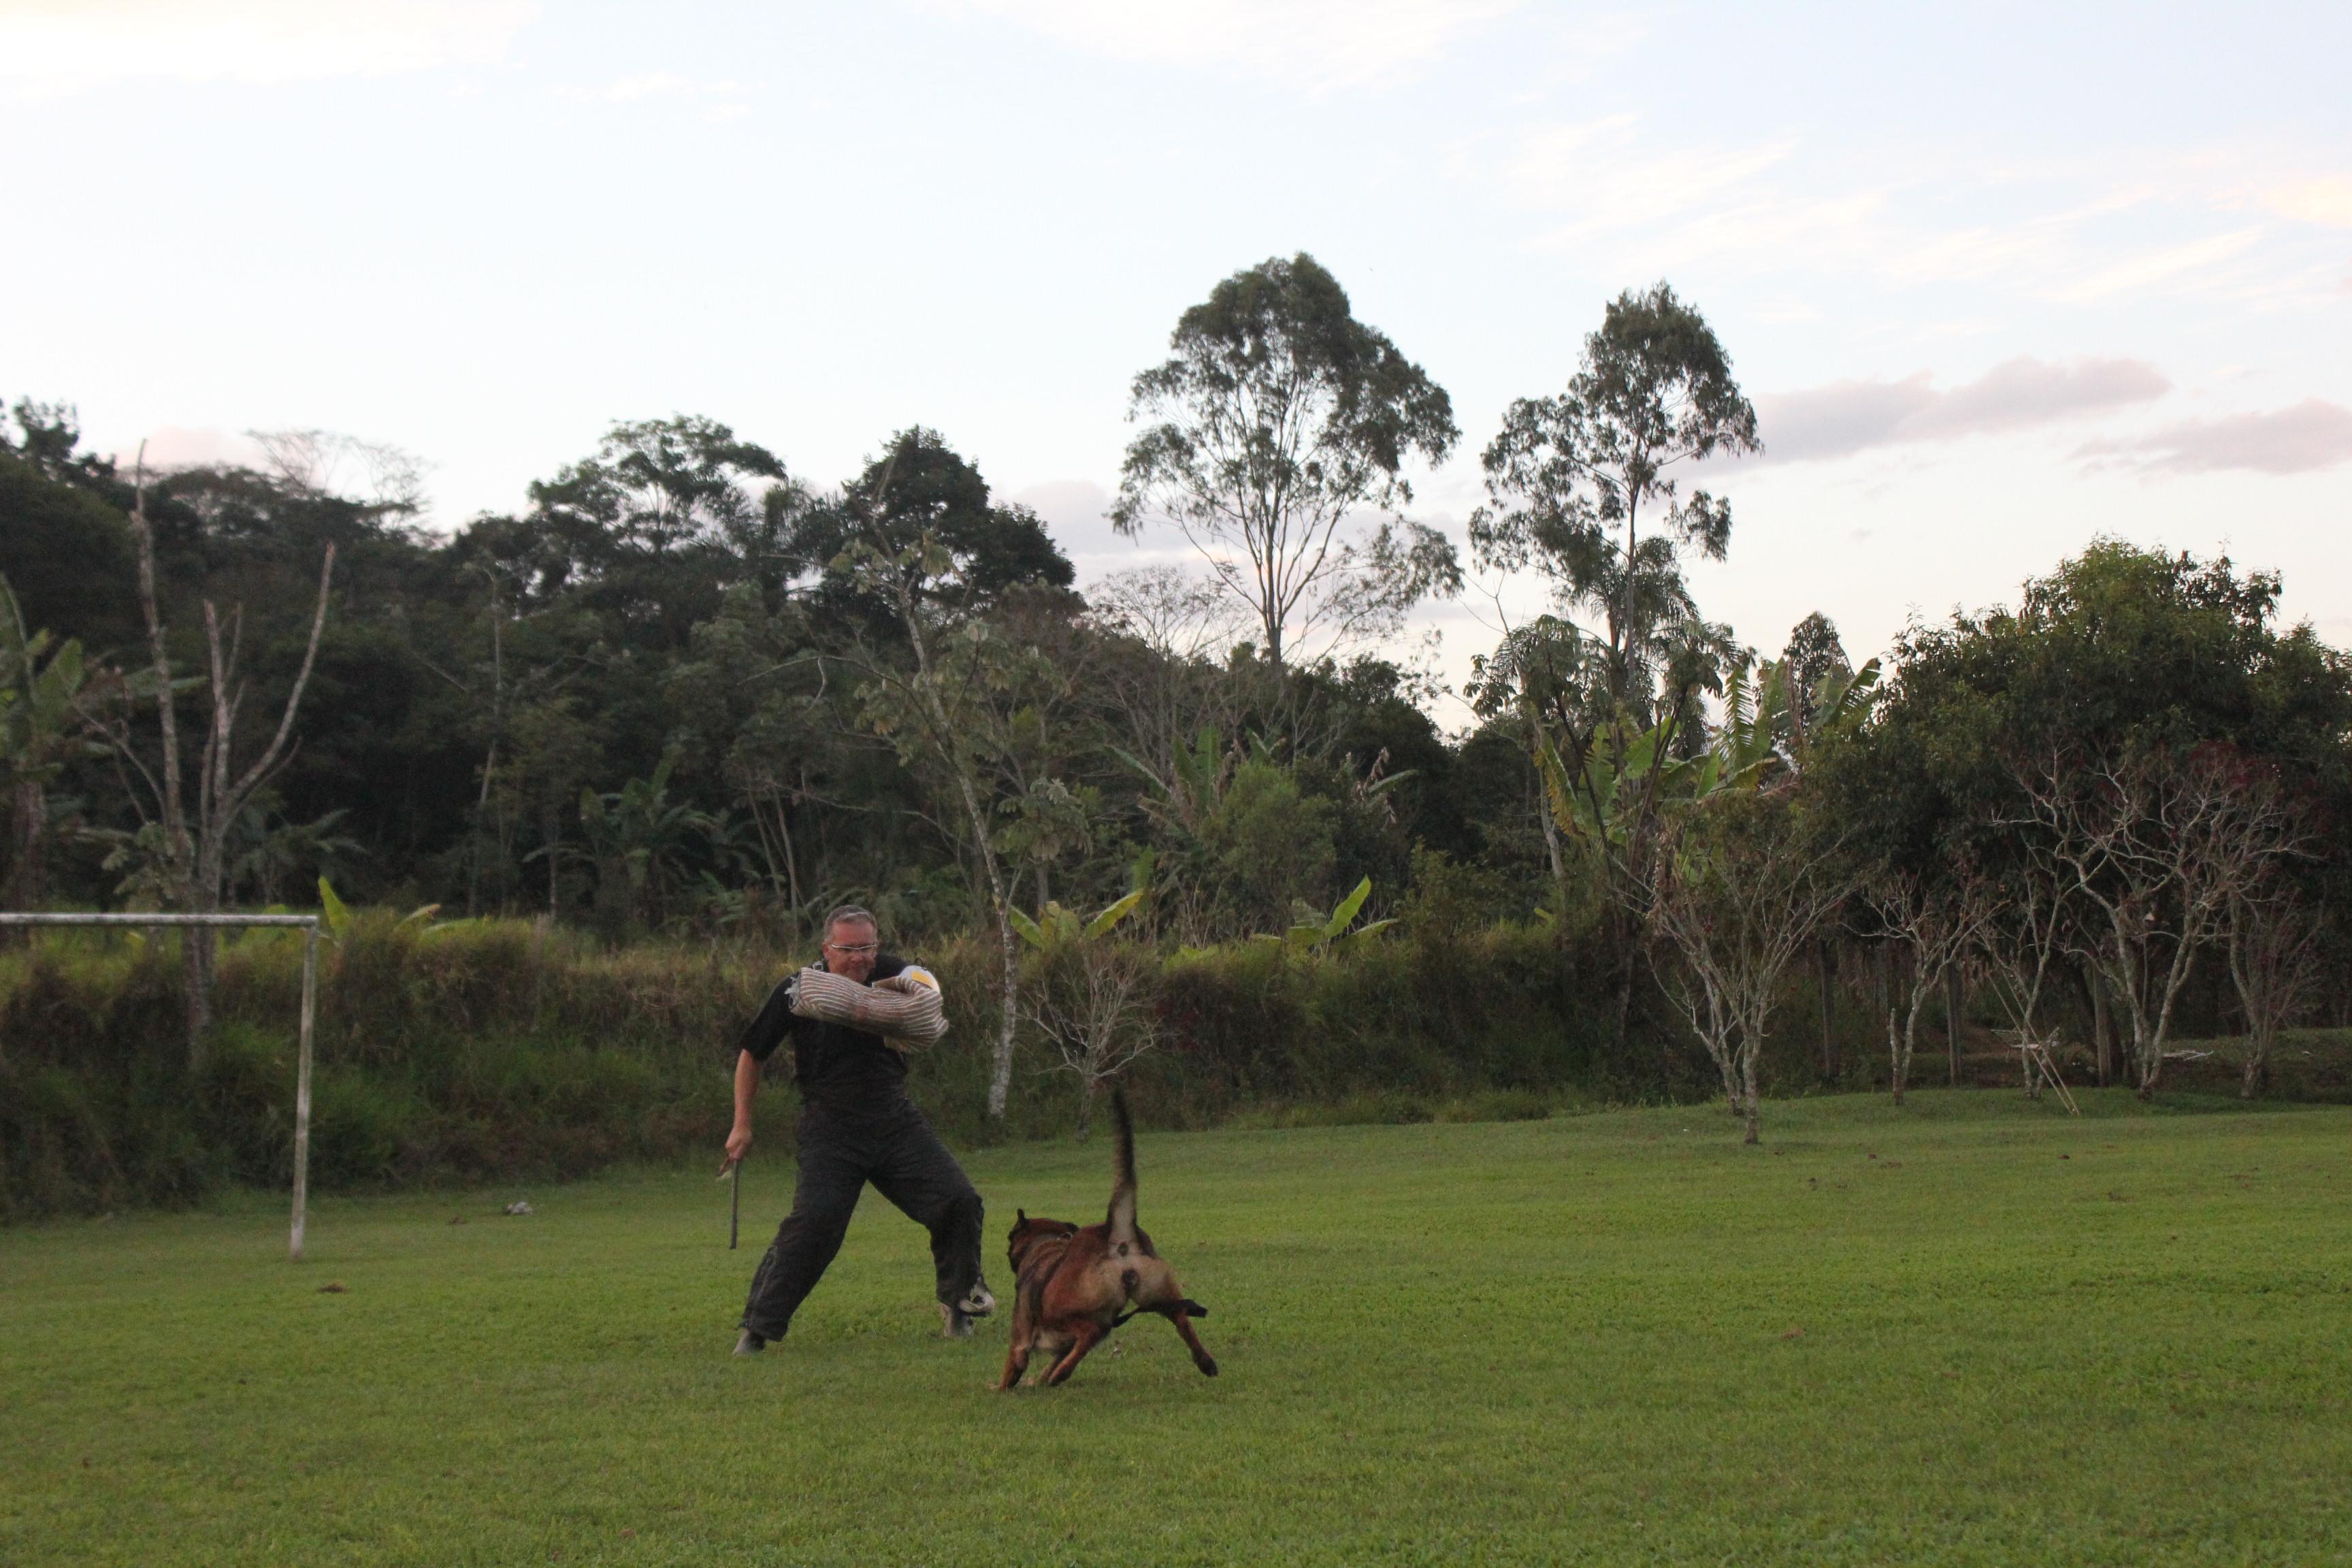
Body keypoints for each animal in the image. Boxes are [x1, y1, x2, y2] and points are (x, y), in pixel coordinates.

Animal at [992, 1085, 1213, 1391]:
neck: (1045, 1244)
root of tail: (1116, 1234)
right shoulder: (1059, 1346)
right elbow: (1053, 1361)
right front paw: (1042, 1378)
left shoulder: (1020, 1343)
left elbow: (1012, 1370)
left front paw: (1000, 1388)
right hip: (1158, 1292)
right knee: (1182, 1319)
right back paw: (1205, 1362)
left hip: (1063, 1310)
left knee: (1092, 1331)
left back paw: (1063, 1374)